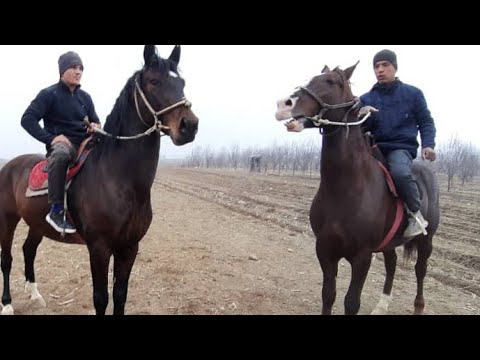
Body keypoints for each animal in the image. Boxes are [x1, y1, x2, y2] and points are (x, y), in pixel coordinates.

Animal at [0, 45, 199, 316]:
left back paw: (36, 296)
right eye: (154, 82)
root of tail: (10, 165)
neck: (118, 180)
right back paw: (7, 304)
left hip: (36, 223)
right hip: (7, 219)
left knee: (28, 251)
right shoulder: (99, 249)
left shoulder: (129, 248)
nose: (189, 125)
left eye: (182, 83)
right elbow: (101, 298)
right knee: (7, 259)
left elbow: (120, 295)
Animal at [278, 64, 438, 316]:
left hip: (426, 239)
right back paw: (382, 305)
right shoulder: (325, 250)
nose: (284, 104)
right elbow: (328, 295)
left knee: (421, 270)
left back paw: (418, 307)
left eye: (332, 81)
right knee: (392, 264)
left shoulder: (362, 257)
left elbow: (351, 302)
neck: (346, 189)